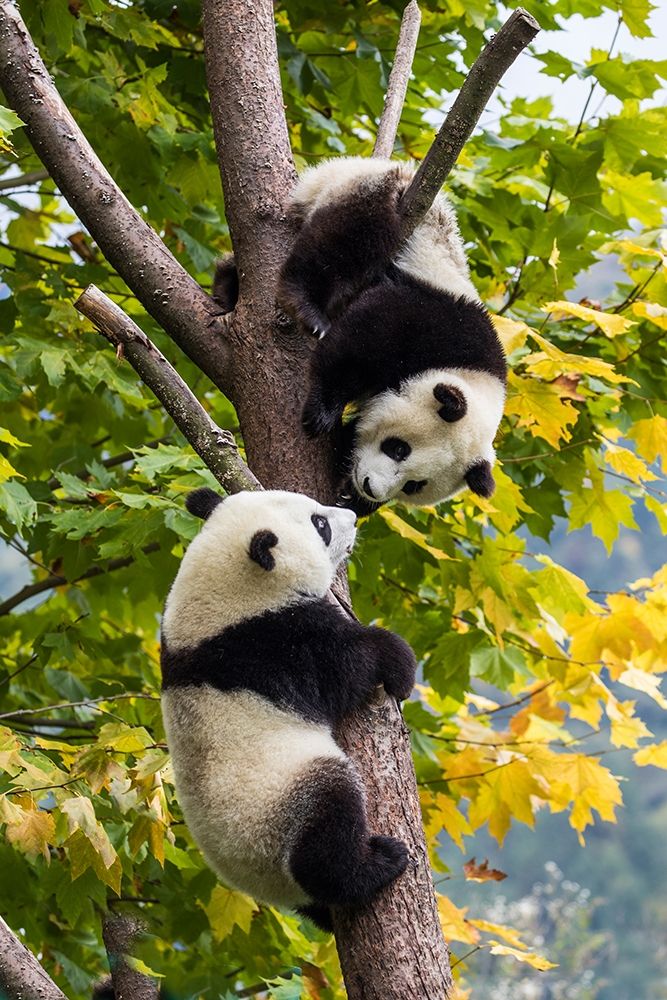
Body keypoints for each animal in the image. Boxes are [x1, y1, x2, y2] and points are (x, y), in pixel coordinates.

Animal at [160, 486, 417, 931]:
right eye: (320, 524)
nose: (352, 517)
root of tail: (265, 886)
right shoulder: (273, 645)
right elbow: (346, 667)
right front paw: (398, 662)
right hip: (280, 807)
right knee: (327, 826)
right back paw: (376, 864)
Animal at [277, 156, 507, 515]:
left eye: (414, 485)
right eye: (398, 448)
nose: (369, 487)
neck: (473, 373)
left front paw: (350, 496)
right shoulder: (434, 321)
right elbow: (359, 342)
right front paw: (322, 413)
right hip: (379, 197)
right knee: (348, 239)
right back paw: (305, 308)